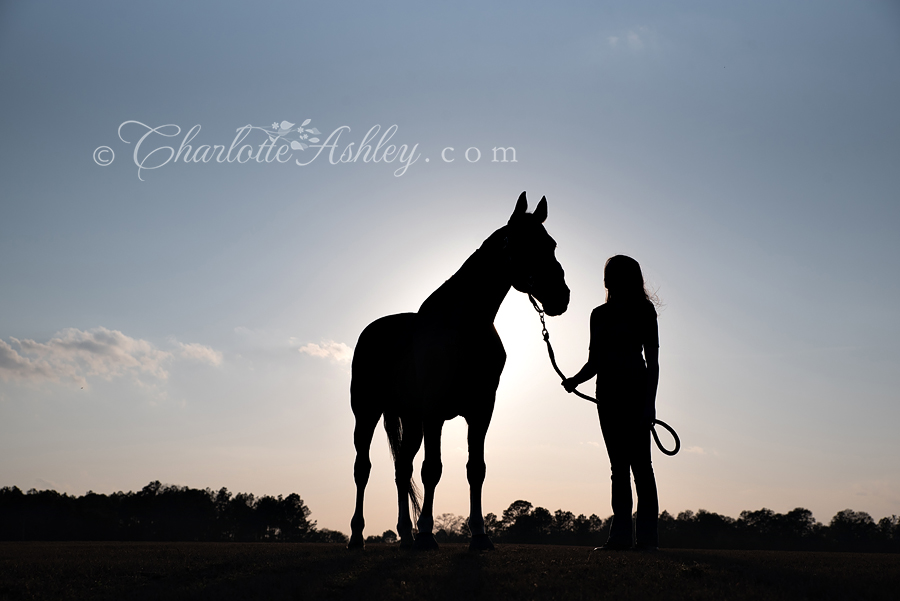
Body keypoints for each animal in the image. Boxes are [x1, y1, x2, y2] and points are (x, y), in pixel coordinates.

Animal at [348, 191, 570, 550]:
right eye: (522, 243)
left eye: (550, 243)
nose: (560, 296)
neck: (463, 327)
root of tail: (372, 331)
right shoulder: (434, 411)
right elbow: (432, 469)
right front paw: (427, 534)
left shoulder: (481, 410)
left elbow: (475, 469)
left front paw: (479, 535)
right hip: (367, 412)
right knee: (362, 469)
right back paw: (357, 536)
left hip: (411, 420)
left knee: (401, 469)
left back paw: (405, 535)